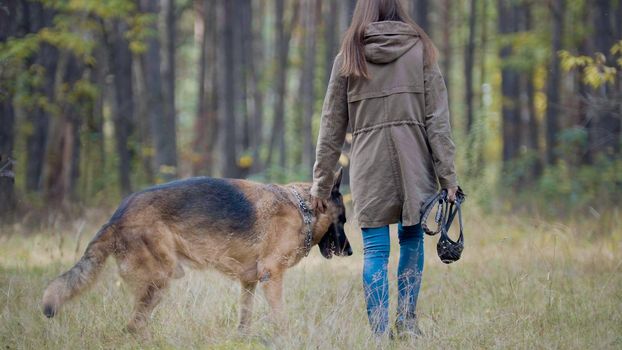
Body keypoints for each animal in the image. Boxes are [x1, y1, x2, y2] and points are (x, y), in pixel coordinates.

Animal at [42, 169, 356, 334]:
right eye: (342, 220)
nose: (351, 252)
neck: (302, 208)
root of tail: (116, 217)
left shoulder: (249, 282)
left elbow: (245, 318)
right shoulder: (272, 276)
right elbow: (281, 317)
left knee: (134, 325)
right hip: (159, 279)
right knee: (133, 325)